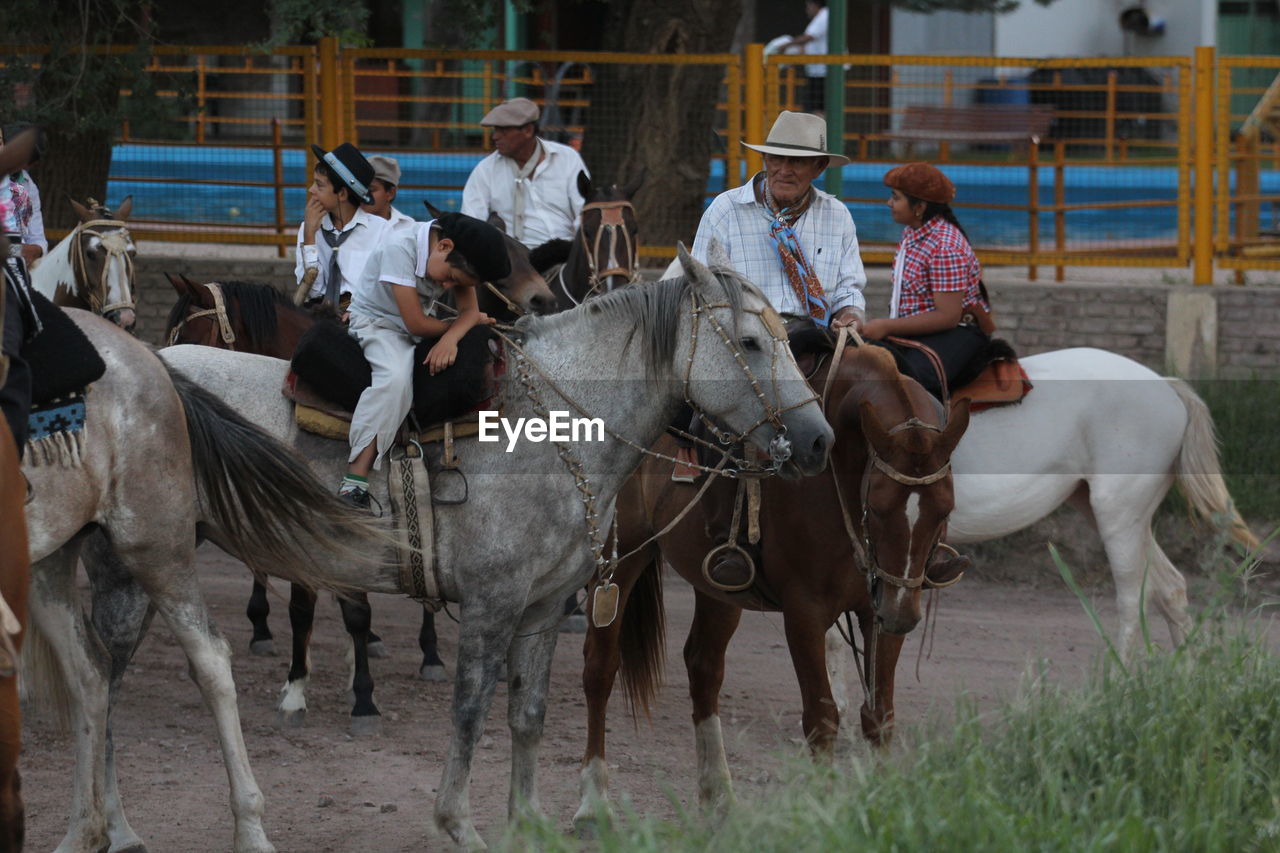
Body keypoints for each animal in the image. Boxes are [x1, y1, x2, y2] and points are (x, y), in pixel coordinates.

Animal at [42, 244, 829, 845]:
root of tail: (150, 369)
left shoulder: (543, 608)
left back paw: (114, 825)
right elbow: (471, 709)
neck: (551, 424)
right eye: (751, 343)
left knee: (103, 678)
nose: (819, 440)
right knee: (114, 678)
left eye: (789, 340)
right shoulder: (490, 603)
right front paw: (459, 823)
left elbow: (528, 715)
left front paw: (527, 822)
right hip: (136, 567)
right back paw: (123, 824)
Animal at [576, 340, 962, 829]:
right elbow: (821, 716)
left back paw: (718, 795)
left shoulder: (881, 606)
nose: (902, 615)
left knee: (704, 669)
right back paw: (593, 803)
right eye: (876, 508)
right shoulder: (805, 612)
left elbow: (879, 714)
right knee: (600, 668)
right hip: (620, 559)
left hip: (720, 590)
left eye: (944, 510)